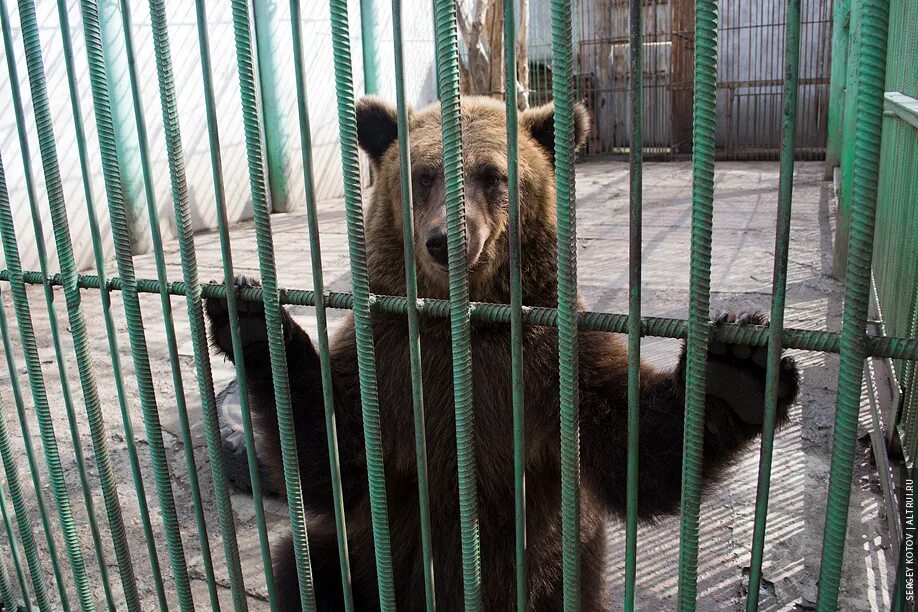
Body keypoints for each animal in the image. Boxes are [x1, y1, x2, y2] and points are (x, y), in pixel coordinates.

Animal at [207, 93, 796, 608]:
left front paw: (737, 368)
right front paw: (249, 317)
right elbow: (330, 451)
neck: (466, 323)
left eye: (491, 175)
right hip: (374, 564)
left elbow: (635, 448)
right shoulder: (389, 356)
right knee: (310, 566)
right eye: (423, 175)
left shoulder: (553, 359)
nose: (446, 239)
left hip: (556, 574)